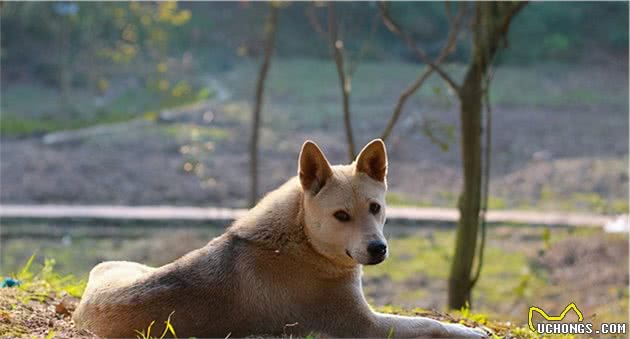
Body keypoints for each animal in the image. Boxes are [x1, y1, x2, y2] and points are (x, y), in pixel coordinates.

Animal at [75, 139, 488, 338]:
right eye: (341, 215)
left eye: (375, 207)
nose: (378, 249)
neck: (301, 241)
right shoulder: (365, 327)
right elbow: (431, 326)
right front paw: (470, 331)